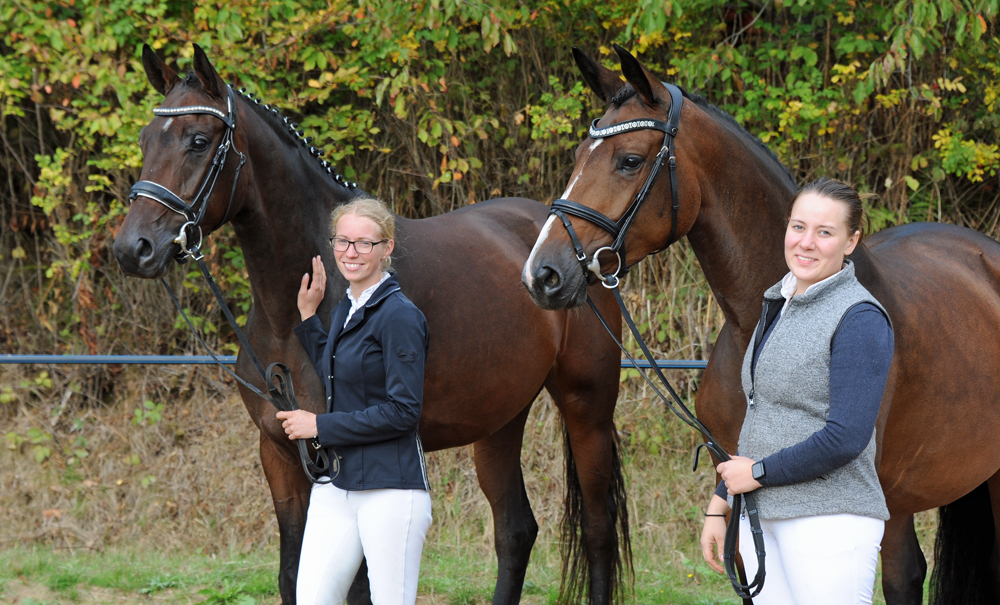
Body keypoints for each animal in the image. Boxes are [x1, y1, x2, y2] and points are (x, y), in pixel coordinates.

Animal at [109, 44, 624, 604]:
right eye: (145, 140)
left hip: (587, 408)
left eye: (199, 141)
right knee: (515, 530)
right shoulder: (280, 456)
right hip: (499, 419)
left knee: (598, 531)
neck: (290, 318)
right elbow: (293, 575)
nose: (133, 249)